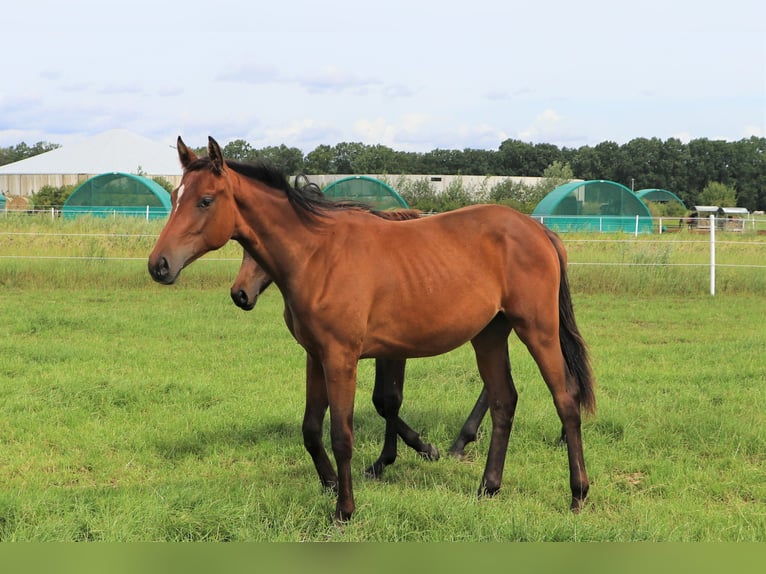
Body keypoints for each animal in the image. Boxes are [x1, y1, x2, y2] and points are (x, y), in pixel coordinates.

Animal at [148, 137, 592, 524]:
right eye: (175, 197)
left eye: (205, 200)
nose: (159, 265)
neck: (318, 255)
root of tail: (540, 231)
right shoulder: (316, 356)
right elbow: (312, 430)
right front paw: (330, 482)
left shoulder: (342, 358)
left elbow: (343, 434)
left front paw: (345, 509)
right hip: (489, 336)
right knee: (503, 402)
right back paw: (488, 487)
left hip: (537, 330)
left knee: (566, 400)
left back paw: (577, 494)